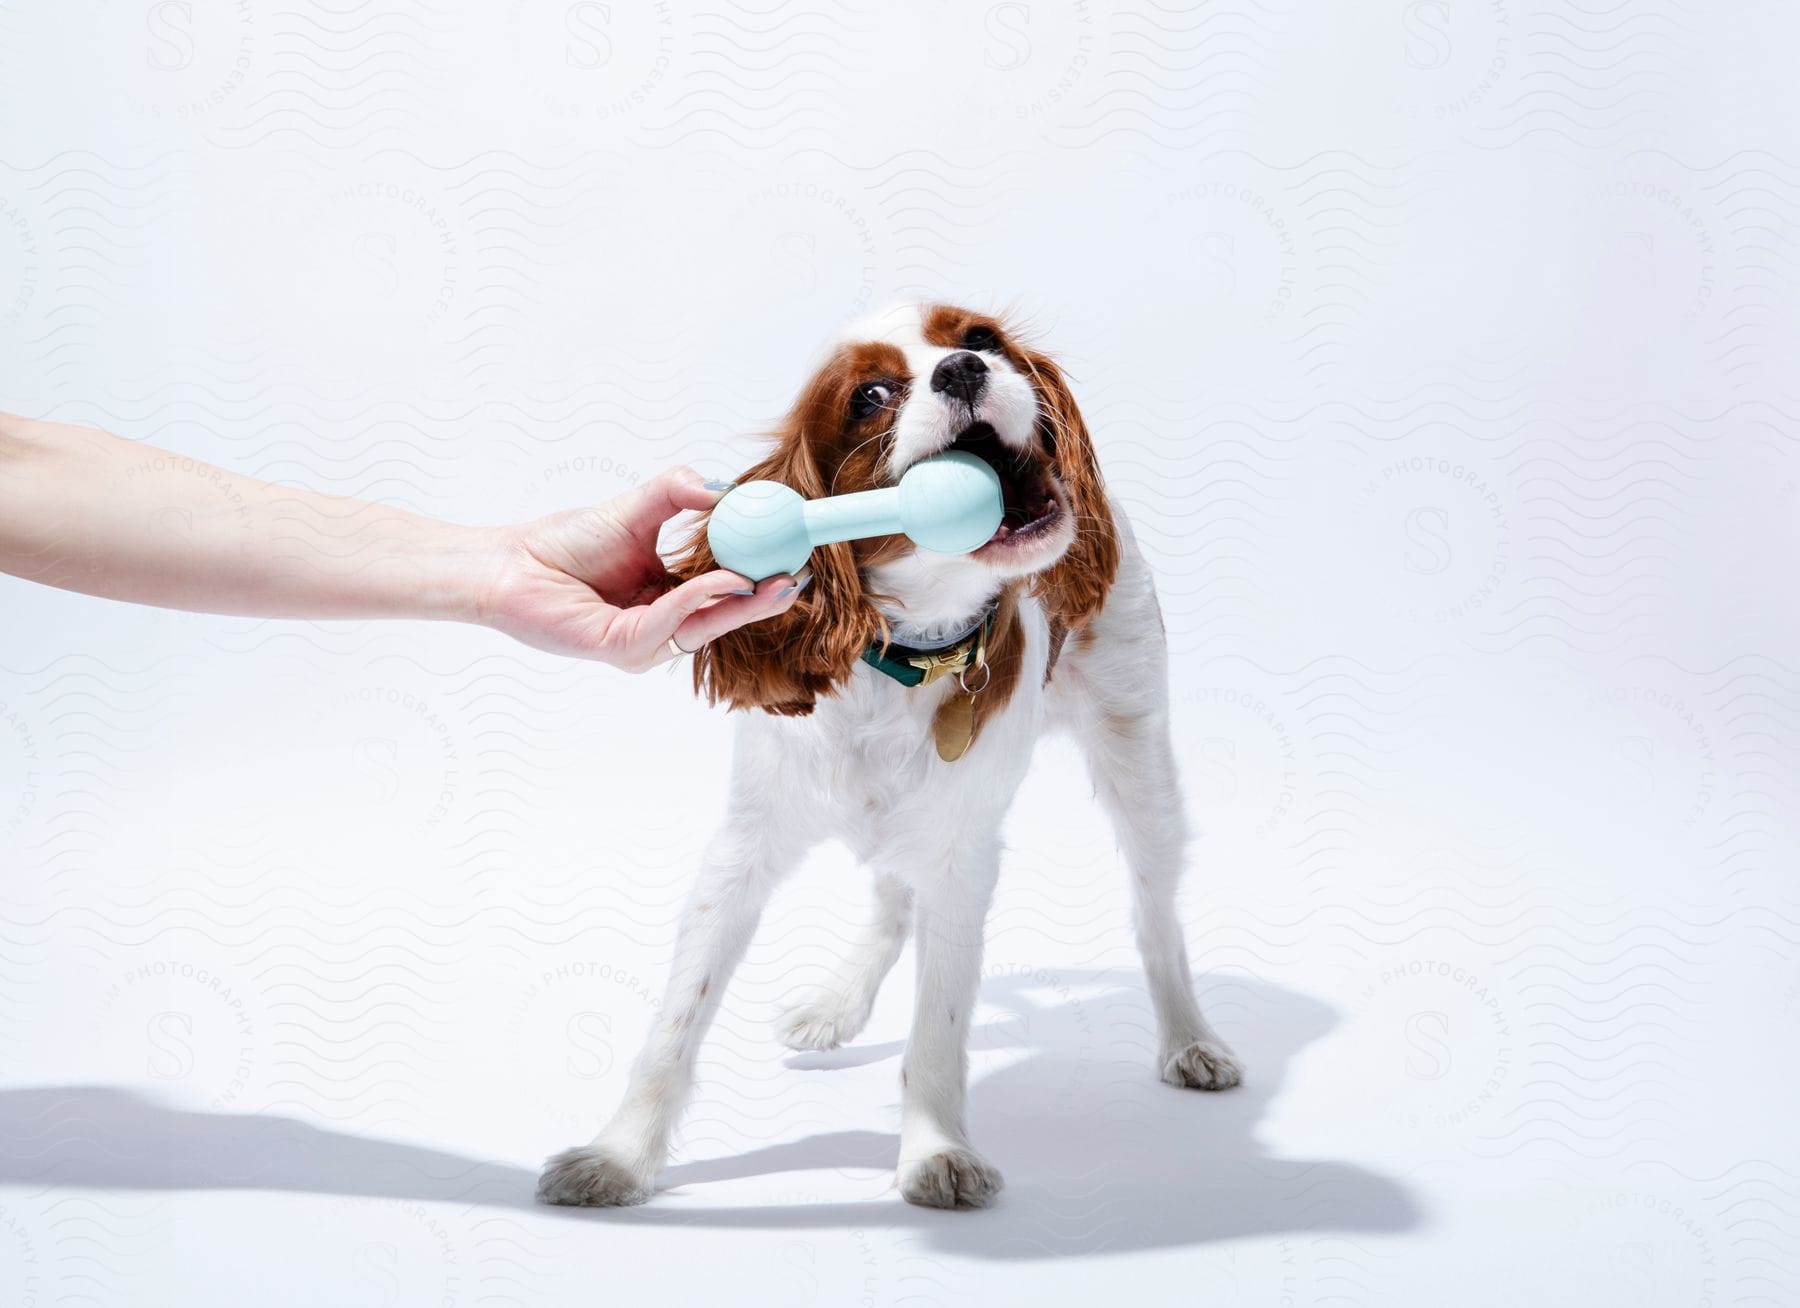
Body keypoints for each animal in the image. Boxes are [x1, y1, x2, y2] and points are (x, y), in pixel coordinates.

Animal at [532, 302, 1238, 1209]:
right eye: (870, 396)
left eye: (981, 341)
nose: (964, 371)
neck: (912, 654)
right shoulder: (743, 850)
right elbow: (676, 1021)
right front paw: (617, 1157)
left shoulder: (961, 860)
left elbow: (937, 1030)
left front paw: (936, 1153)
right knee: (891, 899)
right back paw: (838, 1003)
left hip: (1136, 752)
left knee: (1156, 916)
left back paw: (1190, 1039)